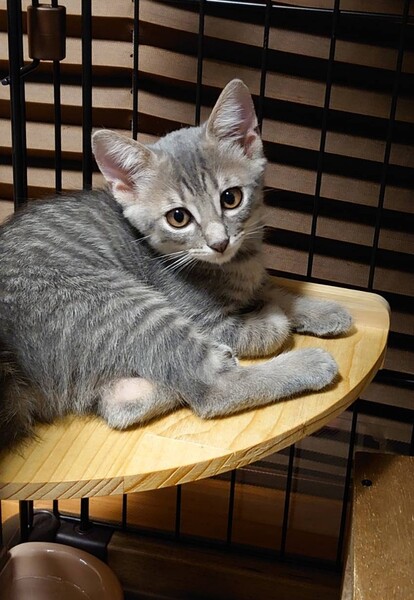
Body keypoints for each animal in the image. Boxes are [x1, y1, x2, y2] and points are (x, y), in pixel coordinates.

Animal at [0, 79, 352, 451]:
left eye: (231, 198)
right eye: (178, 218)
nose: (219, 242)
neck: (235, 264)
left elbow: (275, 289)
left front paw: (321, 309)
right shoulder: (207, 321)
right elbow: (270, 326)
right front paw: (274, 317)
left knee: (119, 406)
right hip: (123, 304)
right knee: (208, 389)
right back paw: (305, 362)